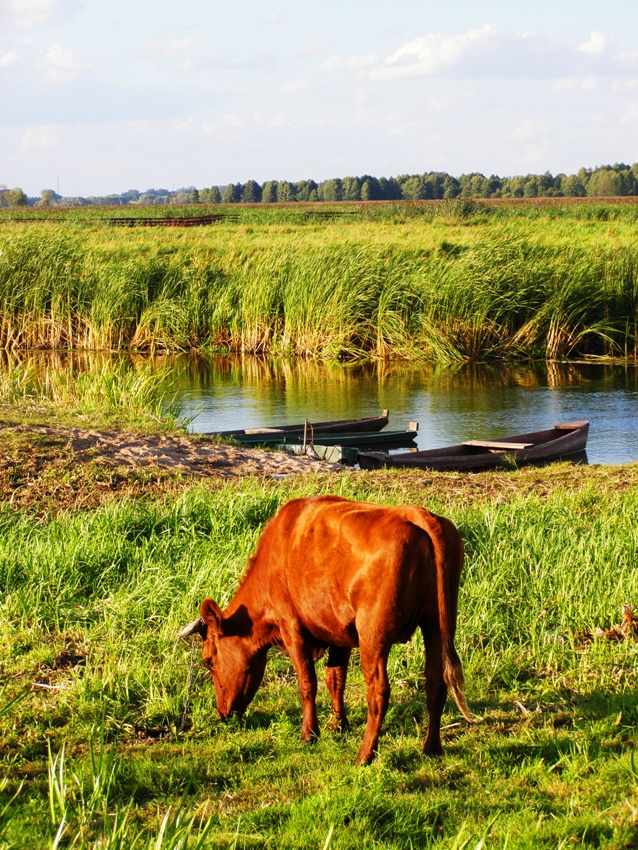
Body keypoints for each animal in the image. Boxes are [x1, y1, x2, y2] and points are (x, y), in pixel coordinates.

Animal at [178, 490, 472, 760]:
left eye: (208, 661)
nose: (222, 712)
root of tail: (414, 512)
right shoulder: (339, 631)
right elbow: (335, 678)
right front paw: (338, 724)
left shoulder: (291, 627)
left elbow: (308, 682)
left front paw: (309, 734)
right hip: (437, 625)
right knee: (435, 682)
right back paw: (431, 748)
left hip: (374, 633)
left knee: (378, 692)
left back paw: (364, 756)